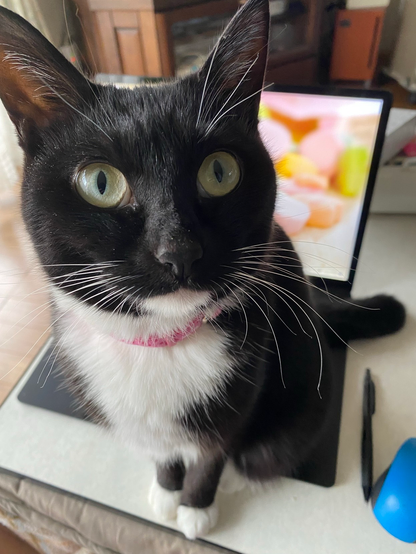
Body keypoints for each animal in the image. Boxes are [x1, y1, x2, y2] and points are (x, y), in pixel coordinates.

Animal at [0, 0, 404, 536]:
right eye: (100, 182)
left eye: (219, 171)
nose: (179, 251)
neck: (160, 342)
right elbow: (162, 450)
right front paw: (167, 486)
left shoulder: (244, 381)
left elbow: (215, 450)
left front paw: (195, 506)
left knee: (261, 454)